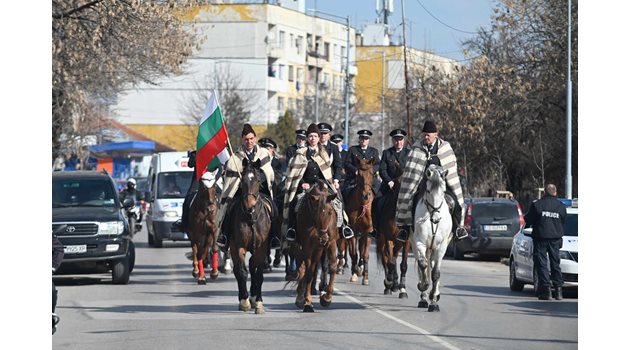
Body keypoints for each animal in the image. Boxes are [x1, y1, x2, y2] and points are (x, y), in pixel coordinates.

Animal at [230, 159, 274, 314]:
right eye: (242, 180)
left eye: (258, 180)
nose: (250, 205)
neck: (251, 217)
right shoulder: (239, 246)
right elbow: (243, 271)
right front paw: (244, 301)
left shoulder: (262, 247)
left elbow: (257, 272)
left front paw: (258, 302)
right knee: (238, 270)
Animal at [292, 180, 340, 312]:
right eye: (315, 212)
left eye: (330, 212)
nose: (323, 238)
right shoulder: (307, 247)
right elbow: (308, 273)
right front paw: (307, 303)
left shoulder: (329, 243)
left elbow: (332, 267)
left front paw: (327, 298)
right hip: (298, 247)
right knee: (302, 268)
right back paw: (300, 296)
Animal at [340, 157, 376, 286]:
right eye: (358, 174)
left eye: (371, 173)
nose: (366, 195)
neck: (362, 204)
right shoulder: (353, 231)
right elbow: (353, 253)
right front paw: (354, 273)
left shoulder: (368, 231)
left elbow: (365, 254)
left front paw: (365, 277)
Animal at [376, 159, 414, 298]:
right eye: (398, 182)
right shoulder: (388, 239)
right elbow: (390, 262)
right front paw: (389, 282)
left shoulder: (406, 241)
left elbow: (403, 265)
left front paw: (402, 289)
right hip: (382, 239)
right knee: (385, 259)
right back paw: (389, 285)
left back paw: (395, 284)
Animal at [412, 164, 452, 312]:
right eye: (428, 191)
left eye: (443, 191)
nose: (436, 219)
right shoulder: (419, 243)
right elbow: (423, 265)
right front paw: (423, 286)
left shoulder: (441, 247)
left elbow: (436, 273)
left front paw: (434, 301)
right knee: (422, 265)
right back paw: (423, 298)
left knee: (432, 267)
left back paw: (434, 296)